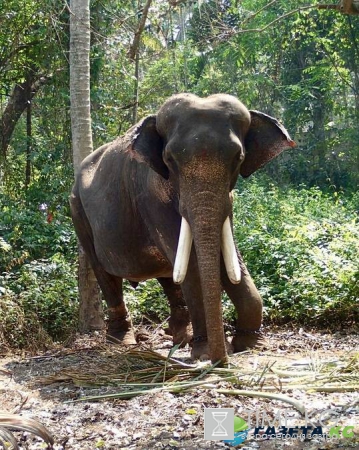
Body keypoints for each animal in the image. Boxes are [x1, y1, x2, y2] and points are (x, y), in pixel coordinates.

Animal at [70, 93, 296, 364]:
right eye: (169, 159)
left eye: (239, 158)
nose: (221, 360)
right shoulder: (150, 197)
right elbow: (195, 265)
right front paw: (206, 352)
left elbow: (229, 257)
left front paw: (251, 344)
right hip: (78, 212)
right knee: (105, 274)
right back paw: (122, 341)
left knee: (168, 275)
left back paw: (181, 337)